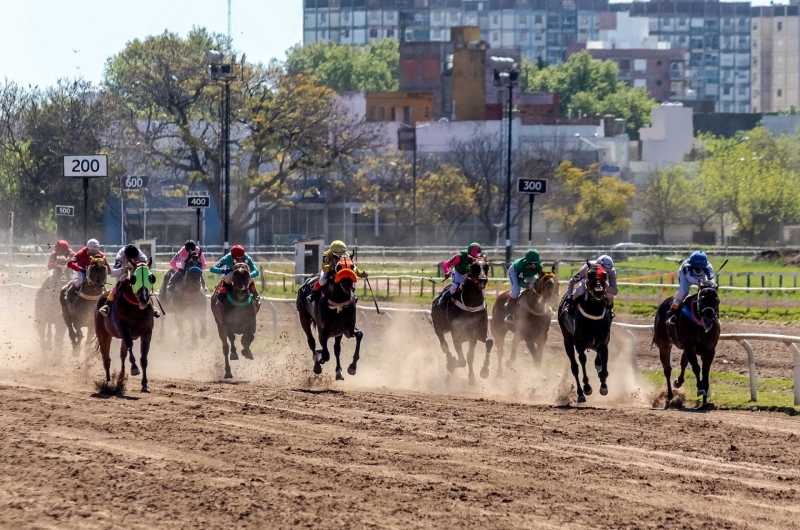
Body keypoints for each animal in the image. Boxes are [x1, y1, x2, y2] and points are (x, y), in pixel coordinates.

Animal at [93, 260, 156, 390]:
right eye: (134, 278)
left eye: (151, 277)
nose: (143, 298)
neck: (136, 308)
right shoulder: (123, 329)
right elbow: (130, 346)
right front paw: (134, 368)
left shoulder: (147, 332)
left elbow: (143, 357)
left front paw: (145, 384)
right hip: (103, 334)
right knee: (106, 358)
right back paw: (108, 382)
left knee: (122, 354)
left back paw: (121, 376)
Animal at [432, 254, 494, 382]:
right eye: (474, 266)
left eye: (486, 266)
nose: (482, 279)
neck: (471, 306)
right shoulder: (457, 335)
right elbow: (462, 361)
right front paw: (453, 363)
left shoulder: (478, 332)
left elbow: (486, 344)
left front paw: (483, 371)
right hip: (438, 327)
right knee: (444, 346)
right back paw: (450, 361)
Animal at [556, 262, 612, 402]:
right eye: (590, 274)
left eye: (604, 274)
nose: (598, 291)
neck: (593, 313)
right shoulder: (579, 343)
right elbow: (582, 360)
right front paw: (587, 387)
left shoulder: (603, 342)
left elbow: (603, 366)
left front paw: (603, 386)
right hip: (567, 340)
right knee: (574, 367)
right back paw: (580, 393)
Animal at [652, 276, 720, 404]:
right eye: (702, 300)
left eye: (717, 300)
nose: (708, 320)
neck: (700, 325)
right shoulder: (690, 346)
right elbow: (696, 367)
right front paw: (700, 388)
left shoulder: (710, 349)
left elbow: (705, 370)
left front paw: (705, 395)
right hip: (664, 344)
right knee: (667, 369)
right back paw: (670, 395)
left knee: (683, 363)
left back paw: (678, 382)